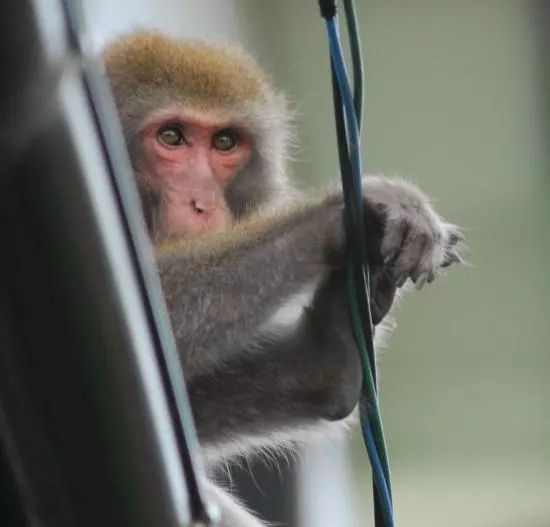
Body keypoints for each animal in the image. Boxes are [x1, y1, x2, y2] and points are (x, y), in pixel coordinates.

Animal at [102, 31, 462, 524]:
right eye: (171, 137)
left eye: (225, 142)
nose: (202, 204)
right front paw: (340, 215)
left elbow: (322, 379)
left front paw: (350, 313)